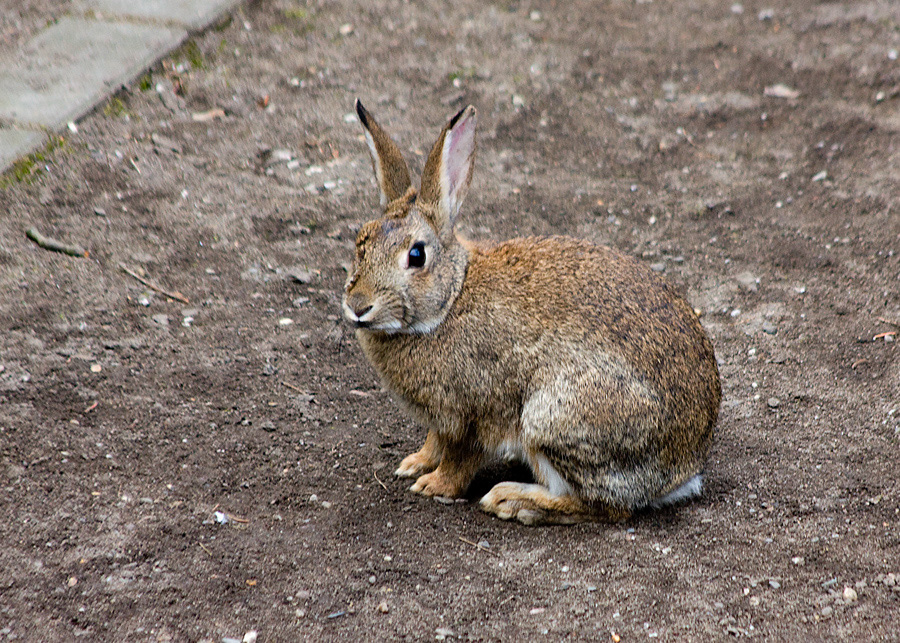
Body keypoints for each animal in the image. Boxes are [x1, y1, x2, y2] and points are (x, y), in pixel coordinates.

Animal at [342, 99, 720, 524]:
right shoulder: (443, 420)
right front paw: (415, 462)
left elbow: (460, 459)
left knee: (604, 507)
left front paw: (433, 485)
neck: (451, 299)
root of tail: (683, 468)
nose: (357, 307)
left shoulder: (474, 413)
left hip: (556, 418)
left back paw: (512, 499)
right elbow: (434, 440)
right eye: (361, 242)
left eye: (417, 255)